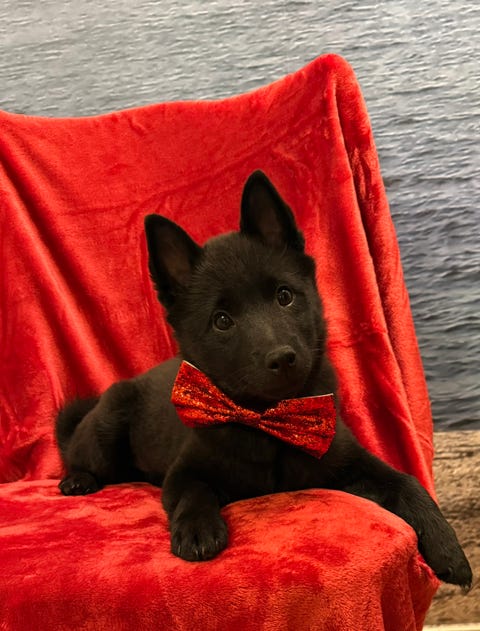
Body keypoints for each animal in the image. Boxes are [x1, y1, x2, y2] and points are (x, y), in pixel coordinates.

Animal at [56, 170, 472, 588]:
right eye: (222, 320)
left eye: (284, 295)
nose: (283, 359)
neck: (268, 420)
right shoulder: (182, 472)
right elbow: (193, 492)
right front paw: (197, 530)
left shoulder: (349, 460)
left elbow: (406, 482)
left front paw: (448, 548)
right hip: (105, 432)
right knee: (77, 456)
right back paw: (78, 480)